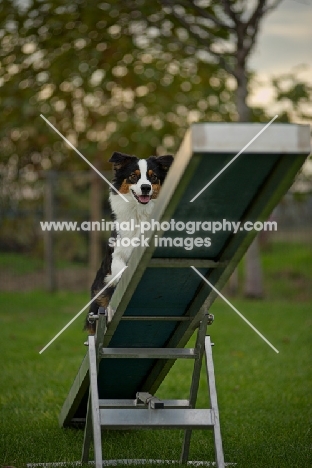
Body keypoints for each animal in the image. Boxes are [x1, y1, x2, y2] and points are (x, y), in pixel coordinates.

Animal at [84, 151, 173, 332]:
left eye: (153, 177)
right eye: (133, 176)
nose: (146, 187)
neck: (139, 212)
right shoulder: (116, 254)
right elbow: (121, 269)